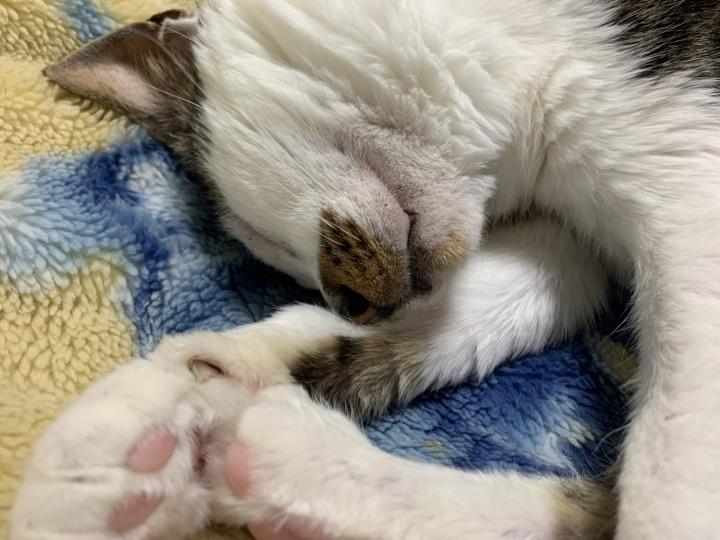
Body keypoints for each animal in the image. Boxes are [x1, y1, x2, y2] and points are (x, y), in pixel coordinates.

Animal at [10, 0, 720, 538]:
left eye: (263, 232)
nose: (355, 305)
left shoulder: (687, 183)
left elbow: (672, 464)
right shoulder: (570, 237)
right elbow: (491, 301)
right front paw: (233, 364)